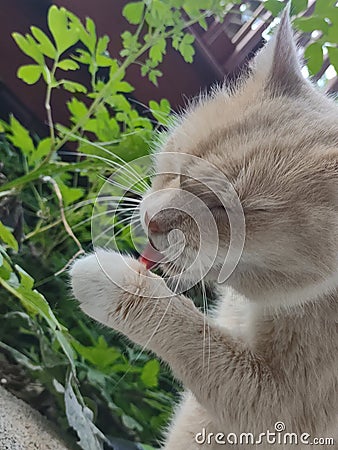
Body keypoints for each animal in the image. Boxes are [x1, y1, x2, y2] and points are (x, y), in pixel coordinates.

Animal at [70, 7, 336, 450]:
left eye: (221, 209)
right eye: (180, 163)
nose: (153, 220)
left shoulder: (282, 406)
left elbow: (192, 332)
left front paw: (118, 283)